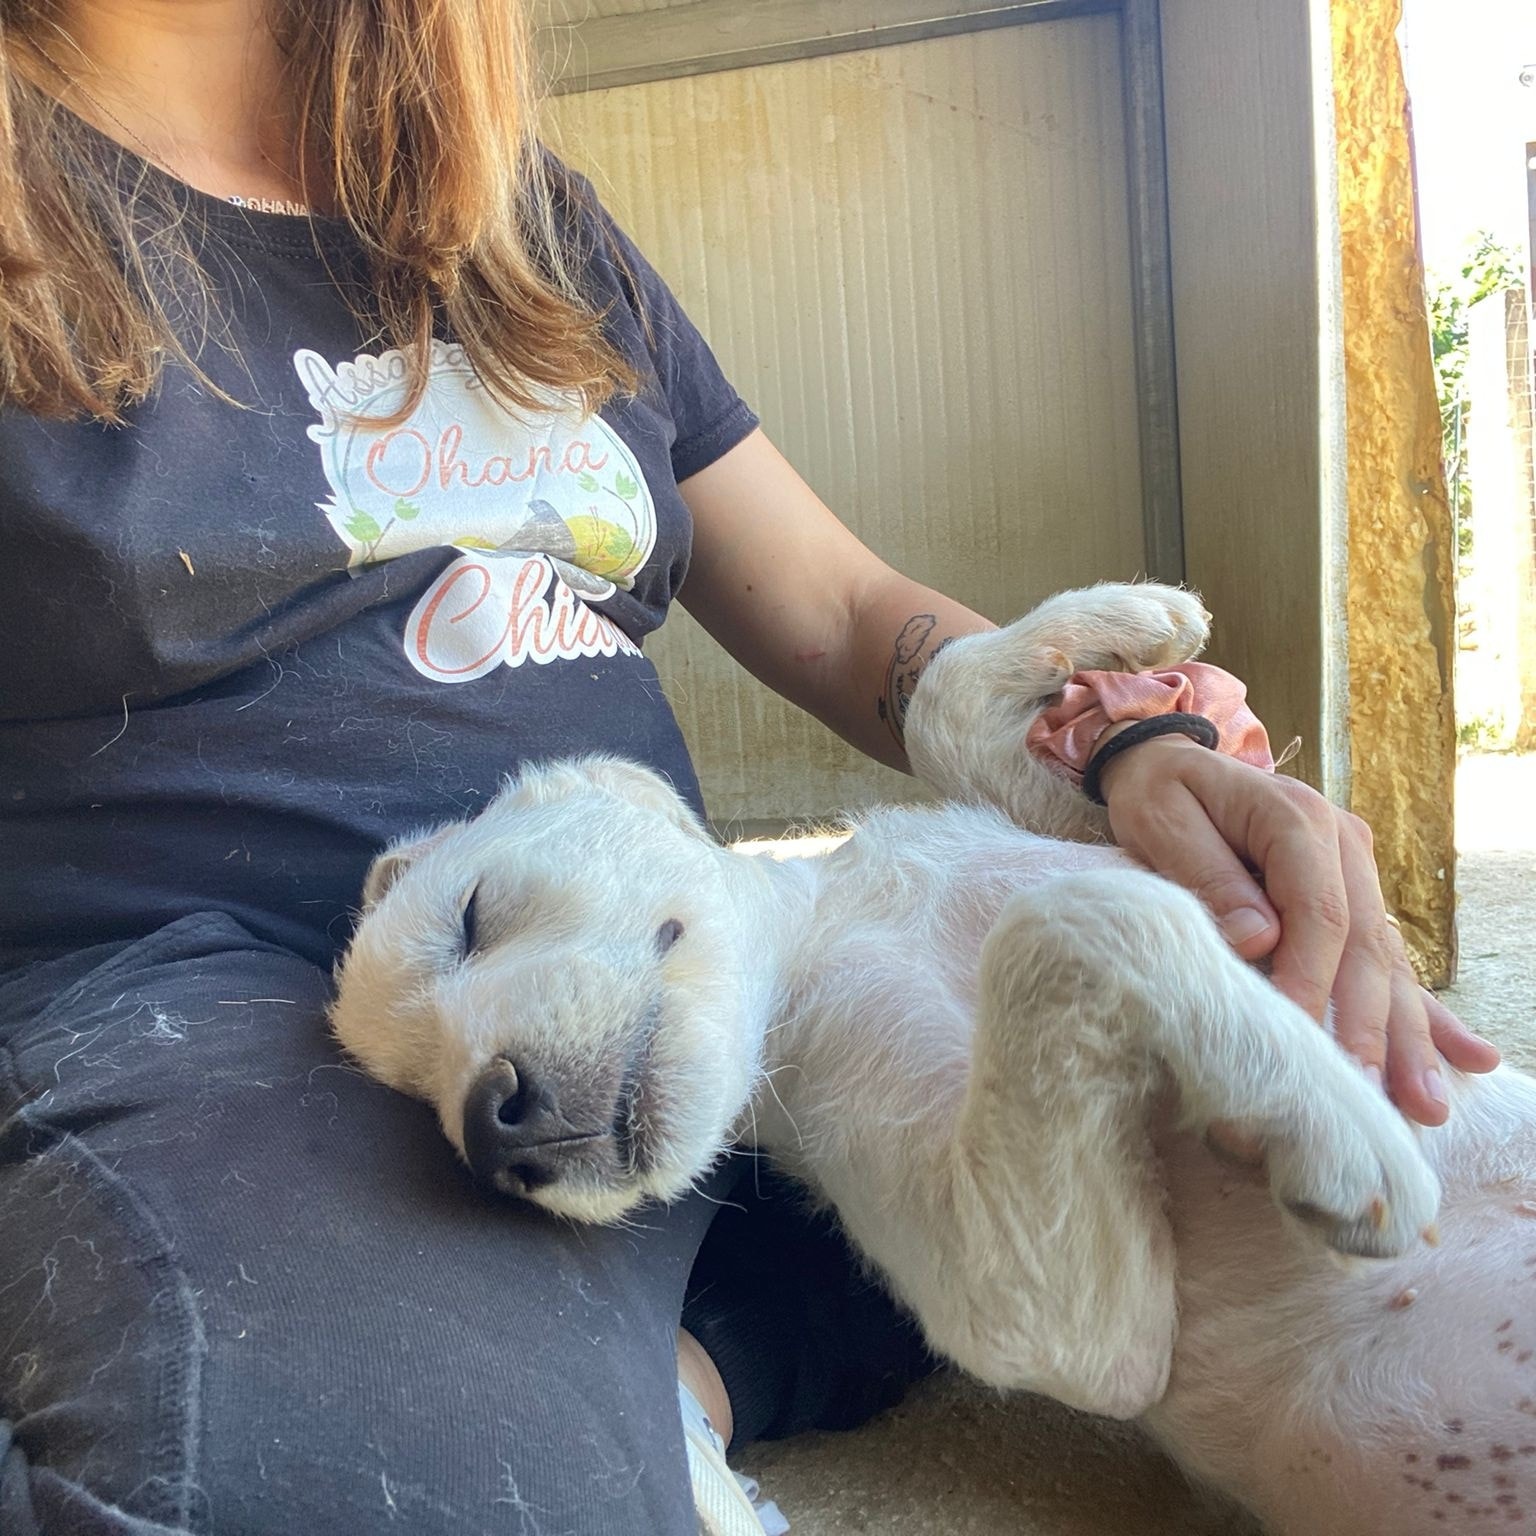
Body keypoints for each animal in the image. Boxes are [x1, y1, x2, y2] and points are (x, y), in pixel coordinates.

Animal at [330, 580, 1536, 1529]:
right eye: (418, 1097)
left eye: (471, 919)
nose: (493, 1130)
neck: (824, 940)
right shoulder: (1060, 1322)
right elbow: (1073, 917)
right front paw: (1331, 1124)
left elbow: (950, 705)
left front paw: (1134, 622)